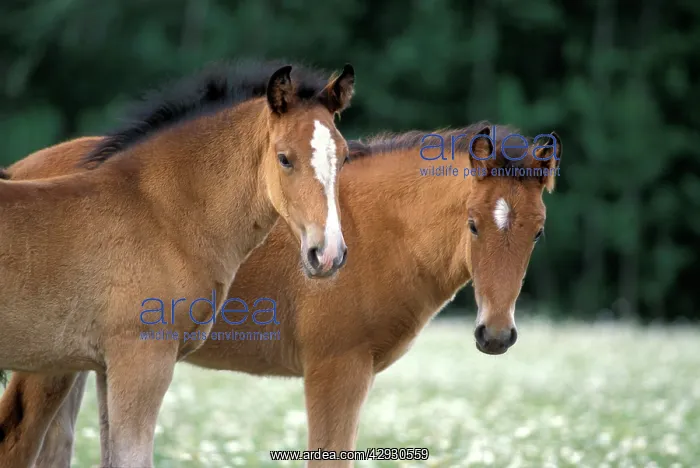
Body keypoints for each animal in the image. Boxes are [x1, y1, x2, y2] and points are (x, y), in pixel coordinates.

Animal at [0, 58, 356, 467]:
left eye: (344, 155)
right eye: (284, 158)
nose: (327, 253)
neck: (160, 216)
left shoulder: (106, 366)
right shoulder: (143, 359)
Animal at [0, 122, 562, 467]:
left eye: (538, 232)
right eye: (472, 224)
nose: (495, 335)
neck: (376, 230)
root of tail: (20, 171)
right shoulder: (336, 367)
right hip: (47, 360)